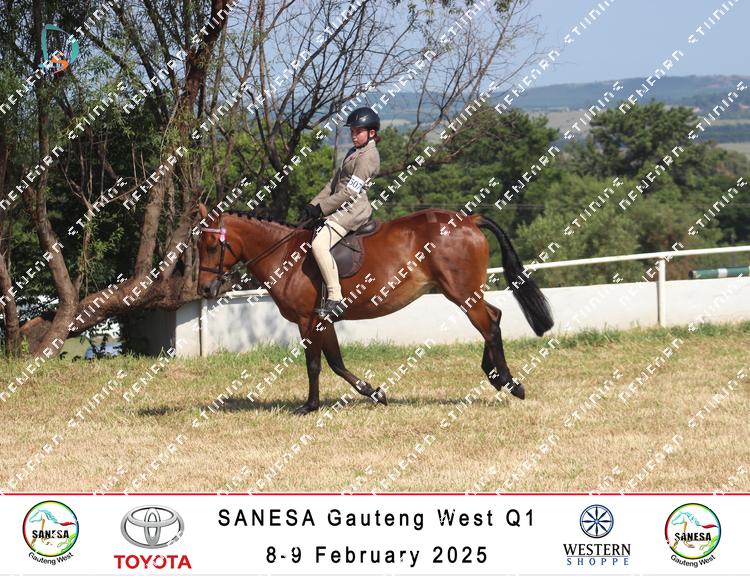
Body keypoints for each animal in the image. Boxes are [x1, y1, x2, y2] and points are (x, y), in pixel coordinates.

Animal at [195, 203, 553, 414]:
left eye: (212, 245)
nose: (205, 290)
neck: (285, 255)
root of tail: (468, 219)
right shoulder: (325, 320)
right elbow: (336, 362)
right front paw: (374, 393)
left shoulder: (308, 320)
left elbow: (315, 364)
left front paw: (310, 406)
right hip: (464, 292)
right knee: (494, 317)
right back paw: (494, 376)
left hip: (461, 291)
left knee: (489, 324)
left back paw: (511, 383)